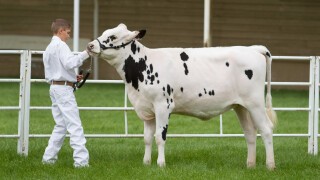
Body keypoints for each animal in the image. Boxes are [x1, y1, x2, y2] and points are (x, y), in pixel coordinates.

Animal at [87, 23, 278, 169]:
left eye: (112, 36)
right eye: (104, 33)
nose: (90, 45)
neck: (143, 66)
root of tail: (253, 49)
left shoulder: (163, 105)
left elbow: (160, 137)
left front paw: (161, 164)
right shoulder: (147, 109)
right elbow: (147, 138)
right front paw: (146, 163)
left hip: (255, 103)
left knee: (266, 129)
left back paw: (270, 165)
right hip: (241, 106)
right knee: (250, 132)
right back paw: (250, 165)